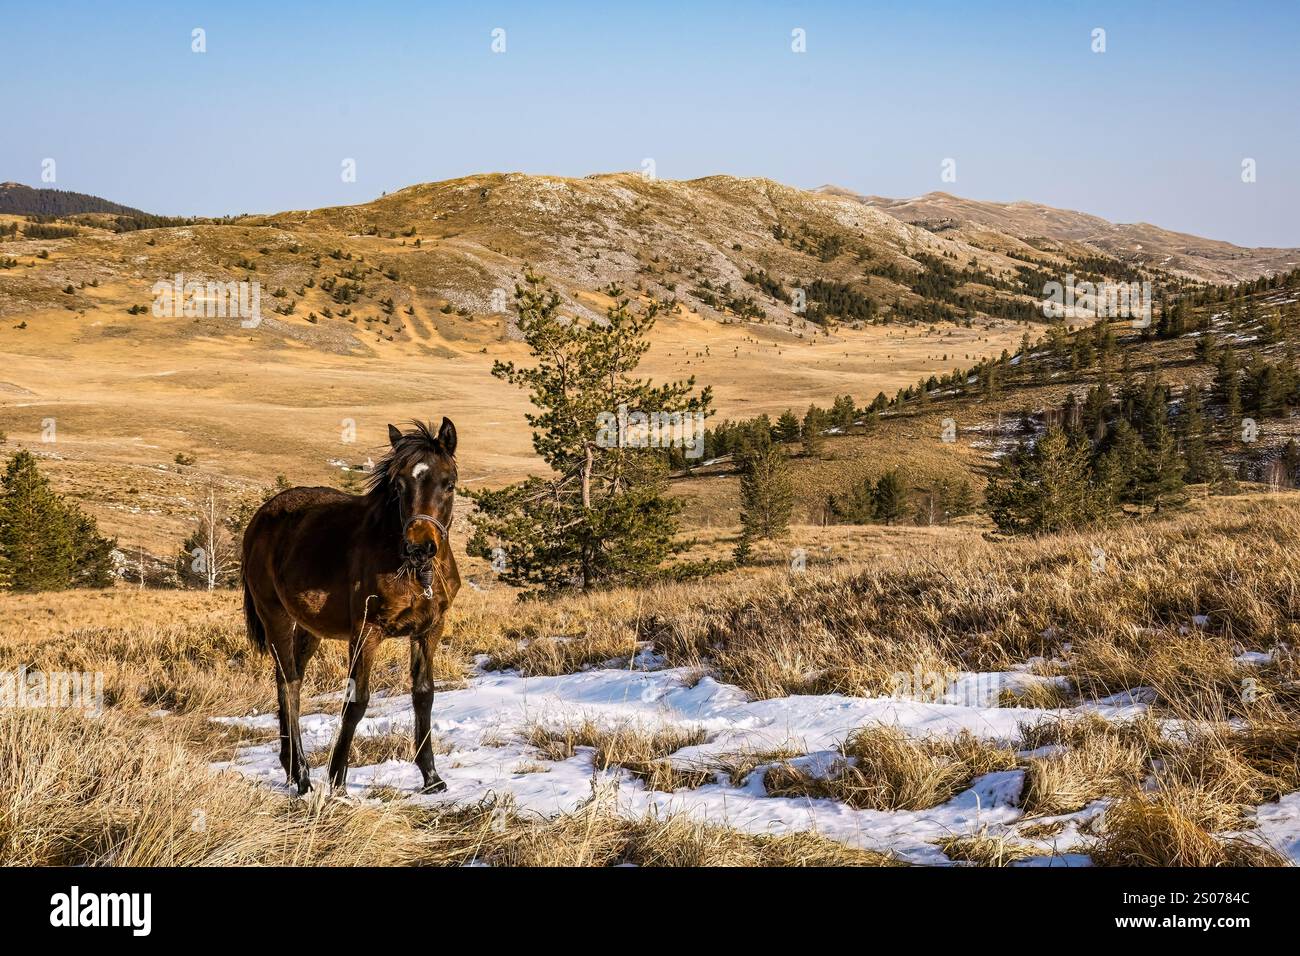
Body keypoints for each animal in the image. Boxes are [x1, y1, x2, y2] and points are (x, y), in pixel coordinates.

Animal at [241, 418, 461, 795]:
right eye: (399, 485)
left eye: (448, 483)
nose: (420, 546)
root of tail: (259, 519)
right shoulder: (366, 632)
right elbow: (357, 701)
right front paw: (338, 781)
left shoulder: (430, 629)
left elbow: (424, 695)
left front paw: (431, 777)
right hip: (275, 617)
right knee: (288, 684)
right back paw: (302, 776)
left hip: (309, 629)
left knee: (290, 678)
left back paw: (292, 769)